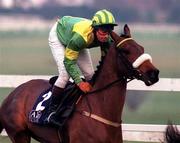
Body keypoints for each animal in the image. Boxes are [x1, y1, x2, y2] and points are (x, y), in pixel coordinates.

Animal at [0, 24, 159, 143]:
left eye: (141, 48)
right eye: (125, 51)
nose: (154, 73)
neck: (100, 109)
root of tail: (13, 94)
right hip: (19, 135)